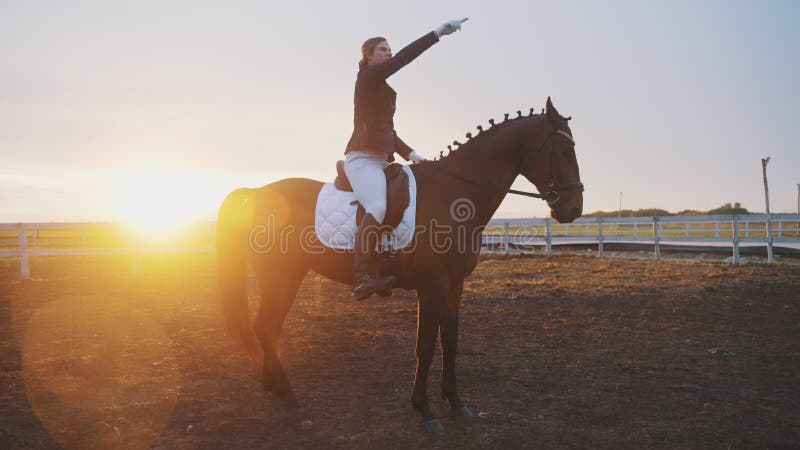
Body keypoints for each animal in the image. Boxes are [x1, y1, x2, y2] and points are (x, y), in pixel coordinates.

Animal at [217, 98, 580, 432]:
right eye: (565, 151)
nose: (573, 208)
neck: (451, 193)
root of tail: (257, 192)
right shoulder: (432, 286)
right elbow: (425, 348)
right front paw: (426, 412)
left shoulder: (455, 285)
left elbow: (450, 342)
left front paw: (456, 404)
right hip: (281, 276)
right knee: (266, 327)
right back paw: (289, 401)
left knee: (268, 329)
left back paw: (274, 392)